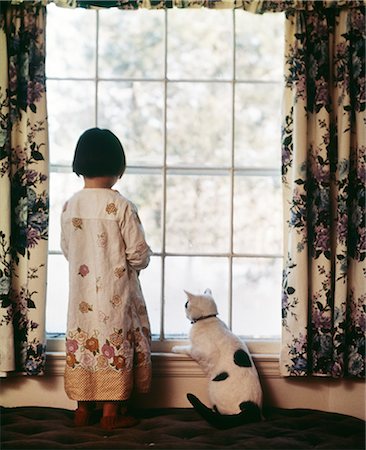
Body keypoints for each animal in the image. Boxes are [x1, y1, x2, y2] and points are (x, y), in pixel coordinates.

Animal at [172, 288, 264, 428]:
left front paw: (175, 348)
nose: (184, 312)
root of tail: (251, 409)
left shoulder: (199, 351)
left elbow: (187, 348)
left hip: (213, 387)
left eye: (186, 304)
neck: (207, 319)